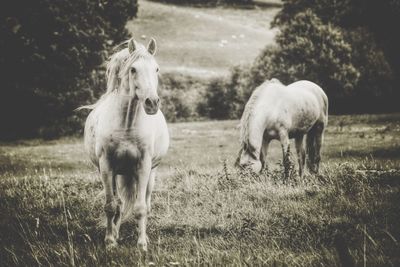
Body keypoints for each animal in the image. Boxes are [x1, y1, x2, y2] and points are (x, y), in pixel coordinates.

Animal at [81, 37, 169, 251]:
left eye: (156, 69)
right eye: (133, 69)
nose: (152, 102)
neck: (127, 125)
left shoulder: (143, 166)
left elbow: (141, 208)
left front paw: (142, 244)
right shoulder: (107, 166)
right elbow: (111, 206)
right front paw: (110, 241)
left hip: (149, 174)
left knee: (146, 202)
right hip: (116, 174)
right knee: (119, 203)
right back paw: (116, 233)